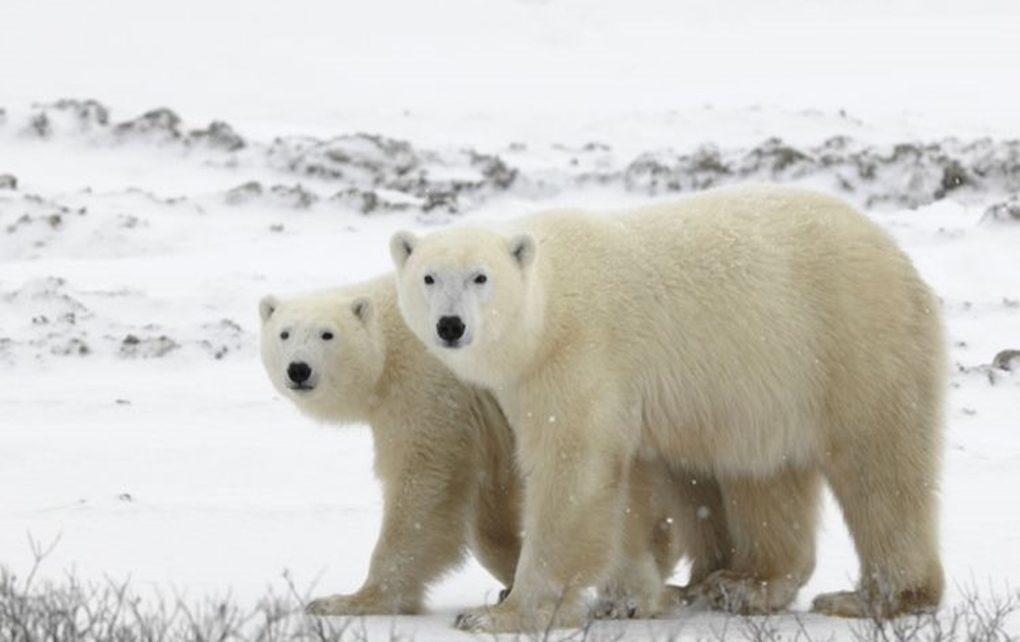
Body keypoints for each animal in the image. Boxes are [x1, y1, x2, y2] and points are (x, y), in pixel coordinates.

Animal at [259, 275, 730, 616]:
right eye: (284, 333)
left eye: (327, 334)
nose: (298, 370)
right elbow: (490, 501)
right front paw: (511, 580)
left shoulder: (430, 388)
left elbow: (426, 485)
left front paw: (346, 601)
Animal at [389, 183, 946, 632]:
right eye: (429, 277)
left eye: (480, 277)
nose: (451, 325)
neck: (549, 310)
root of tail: (894, 253)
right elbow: (629, 487)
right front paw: (631, 598)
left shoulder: (580, 357)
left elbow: (573, 473)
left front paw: (501, 613)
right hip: (769, 392)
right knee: (763, 478)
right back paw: (737, 583)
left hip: (851, 341)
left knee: (880, 468)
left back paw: (875, 596)